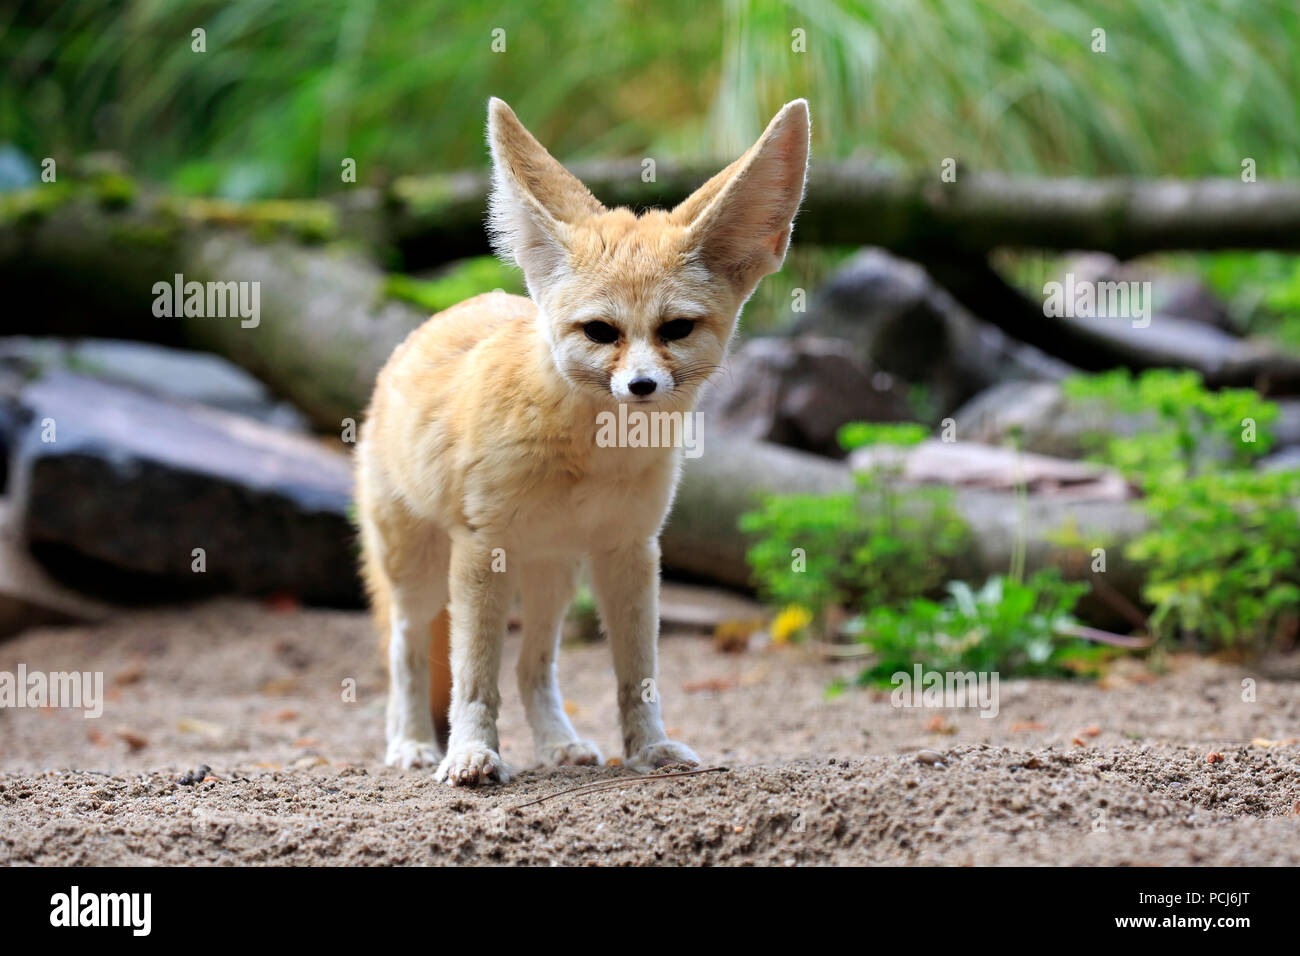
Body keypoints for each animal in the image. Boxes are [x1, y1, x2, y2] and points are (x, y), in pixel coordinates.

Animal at [353, 95, 800, 785]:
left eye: (676, 329)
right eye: (599, 331)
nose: (641, 386)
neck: (591, 457)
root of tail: (442, 316)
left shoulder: (631, 550)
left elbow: (637, 676)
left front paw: (649, 750)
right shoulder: (481, 551)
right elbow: (471, 678)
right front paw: (471, 754)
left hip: (553, 576)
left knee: (532, 666)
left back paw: (558, 744)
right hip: (421, 575)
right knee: (406, 654)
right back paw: (411, 745)